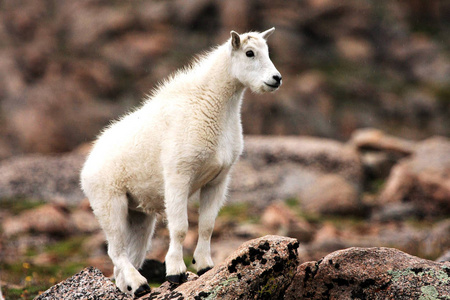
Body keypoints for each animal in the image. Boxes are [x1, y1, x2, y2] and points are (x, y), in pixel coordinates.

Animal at [79, 27, 280, 296]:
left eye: (267, 51)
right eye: (250, 53)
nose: (276, 79)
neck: (211, 106)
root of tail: (86, 166)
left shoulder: (218, 180)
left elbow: (206, 225)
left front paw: (204, 265)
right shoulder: (178, 176)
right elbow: (180, 227)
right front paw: (176, 272)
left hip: (138, 216)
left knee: (129, 255)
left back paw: (130, 288)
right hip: (109, 203)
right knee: (116, 250)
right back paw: (140, 284)